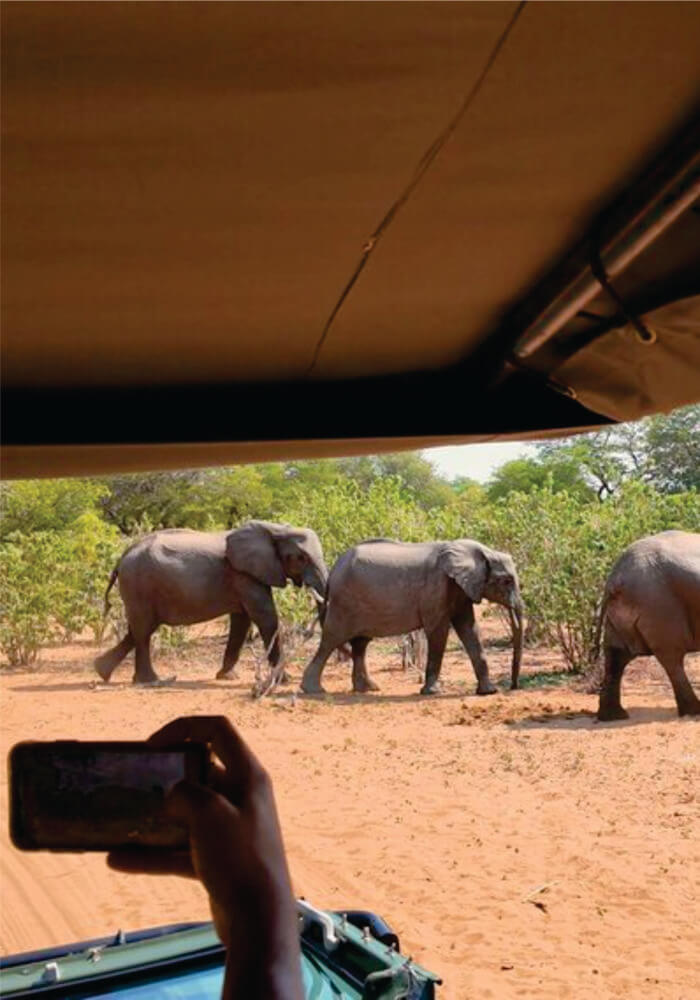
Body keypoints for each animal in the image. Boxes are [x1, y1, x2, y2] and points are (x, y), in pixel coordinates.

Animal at [93, 520, 330, 684]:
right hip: (138, 584)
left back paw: (101, 671)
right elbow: (266, 617)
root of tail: (122, 557)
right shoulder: (244, 575)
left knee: (139, 629)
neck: (276, 529)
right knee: (143, 630)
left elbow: (242, 621)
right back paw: (151, 681)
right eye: (301, 558)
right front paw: (283, 680)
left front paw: (227, 677)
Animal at [298, 540, 524, 696]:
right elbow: (438, 632)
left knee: (360, 643)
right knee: (331, 640)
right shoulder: (437, 587)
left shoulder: (461, 590)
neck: (478, 550)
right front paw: (432, 692)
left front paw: (488, 692)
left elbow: (470, 630)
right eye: (506, 581)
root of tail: (333, 570)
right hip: (344, 603)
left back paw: (368, 689)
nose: (513, 687)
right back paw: (314, 690)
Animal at [596, 528, 700, 724]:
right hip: (659, 606)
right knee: (672, 657)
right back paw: (694, 711)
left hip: (624, 611)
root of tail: (616, 577)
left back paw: (613, 717)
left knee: (615, 655)